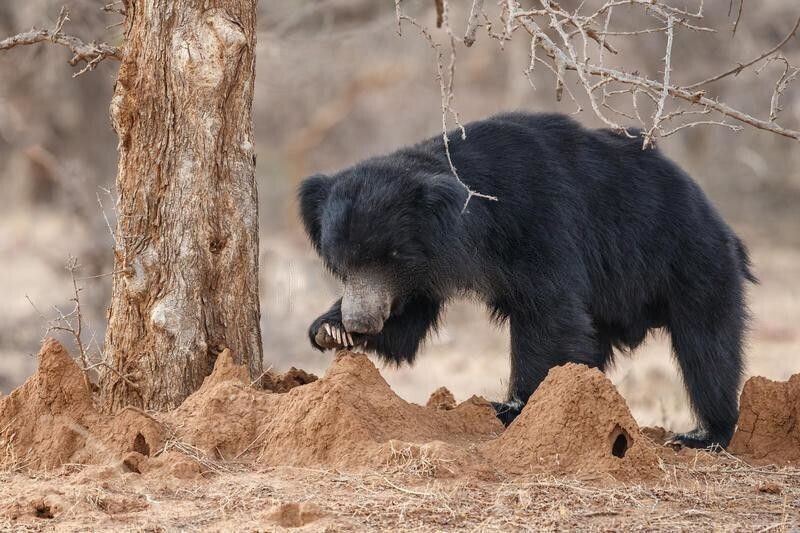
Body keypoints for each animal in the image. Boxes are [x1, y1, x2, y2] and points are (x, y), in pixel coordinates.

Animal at [296, 113, 752, 448]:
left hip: (690, 263)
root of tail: (718, 219)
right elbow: (407, 326)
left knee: (707, 348)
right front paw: (330, 331)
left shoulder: (539, 222)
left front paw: (512, 407)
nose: (359, 321)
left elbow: (549, 312)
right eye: (342, 264)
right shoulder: (423, 277)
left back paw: (704, 435)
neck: (471, 227)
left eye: (387, 257)